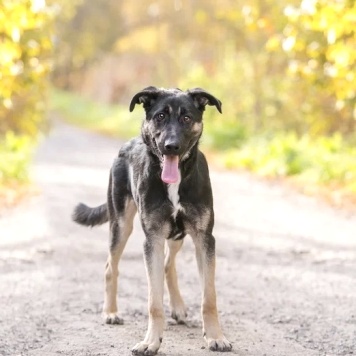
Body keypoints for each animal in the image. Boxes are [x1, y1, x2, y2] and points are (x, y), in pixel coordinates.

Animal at [72, 87, 234, 356]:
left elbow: (209, 298)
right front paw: (151, 341)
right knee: (110, 266)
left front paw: (215, 336)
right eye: (160, 117)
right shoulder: (153, 240)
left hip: (178, 235)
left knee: (169, 264)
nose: (171, 147)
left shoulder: (204, 239)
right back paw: (111, 312)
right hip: (121, 225)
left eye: (186, 118)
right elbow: (153, 301)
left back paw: (178, 308)